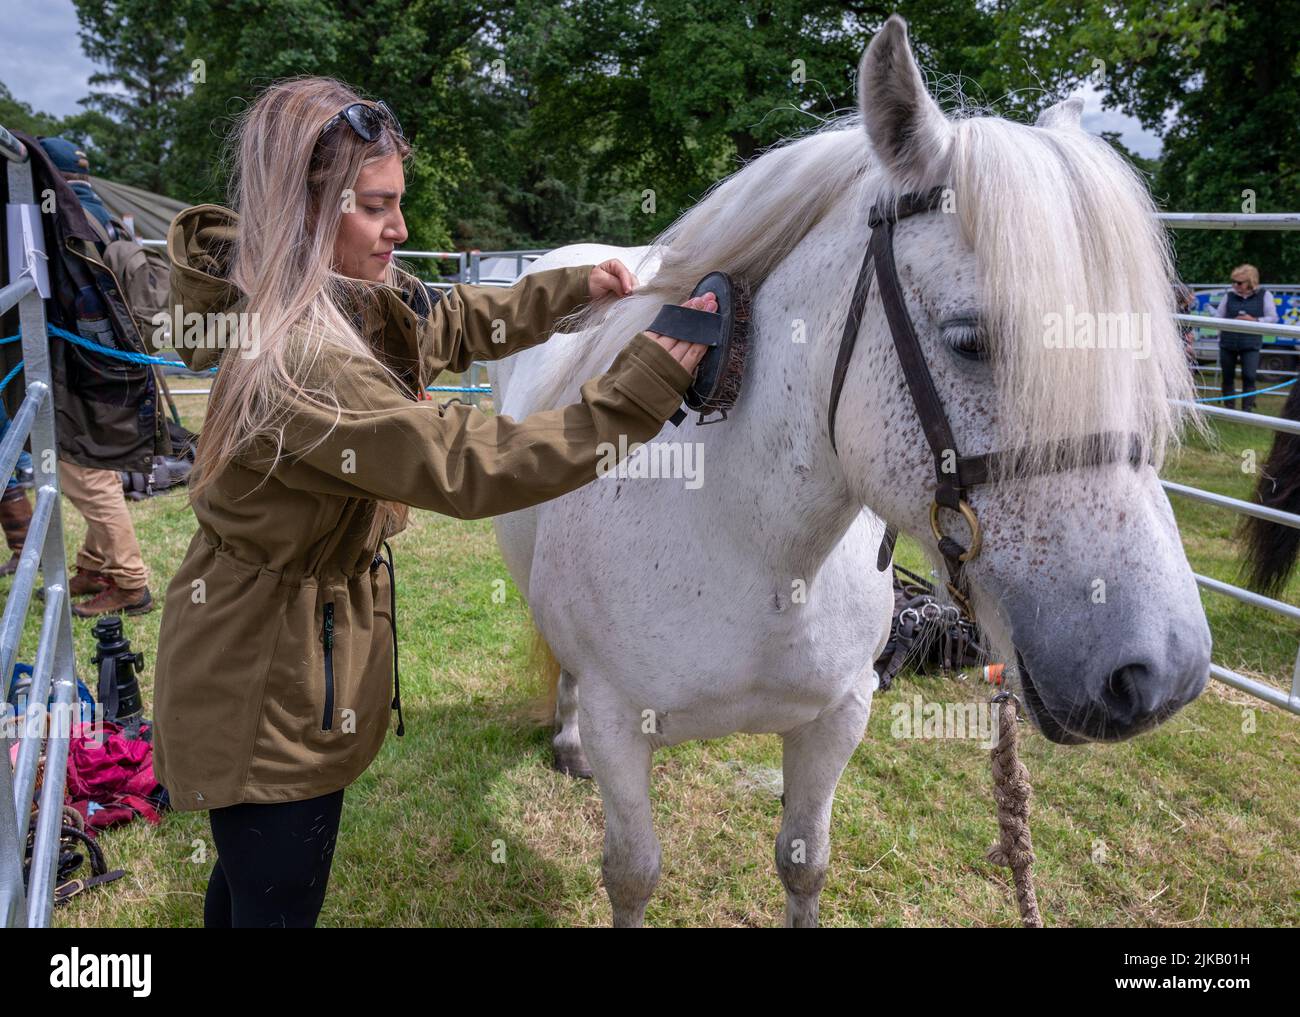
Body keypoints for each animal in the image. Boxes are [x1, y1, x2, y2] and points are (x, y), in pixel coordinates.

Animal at [486, 15, 1206, 925]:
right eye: (969, 338)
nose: (1162, 670)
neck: (754, 549)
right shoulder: (623, 728)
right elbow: (633, 872)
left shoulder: (837, 718)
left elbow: (803, 862)